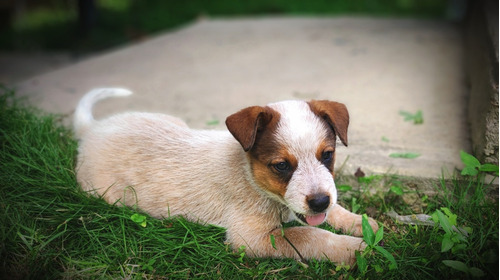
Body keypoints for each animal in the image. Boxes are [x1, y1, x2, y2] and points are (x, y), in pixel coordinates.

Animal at [74, 87, 376, 264]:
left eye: (327, 155)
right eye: (281, 166)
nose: (319, 202)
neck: (248, 174)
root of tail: (93, 129)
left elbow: (334, 211)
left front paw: (363, 224)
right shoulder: (250, 239)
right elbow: (308, 235)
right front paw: (355, 249)